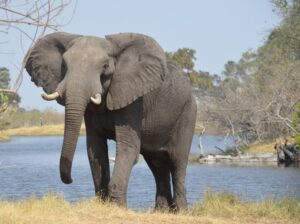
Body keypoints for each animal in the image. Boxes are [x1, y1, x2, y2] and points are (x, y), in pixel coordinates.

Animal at [25, 31, 197, 210]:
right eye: (64, 65)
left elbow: (128, 147)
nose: (70, 180)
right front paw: (103, 203)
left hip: (188, 112)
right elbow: (95, 149)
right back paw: (162, 211)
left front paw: (118, 207)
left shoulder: (133, 98)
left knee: (177, 162)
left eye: (105, 66)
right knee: (156, 163)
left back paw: (180, 211)